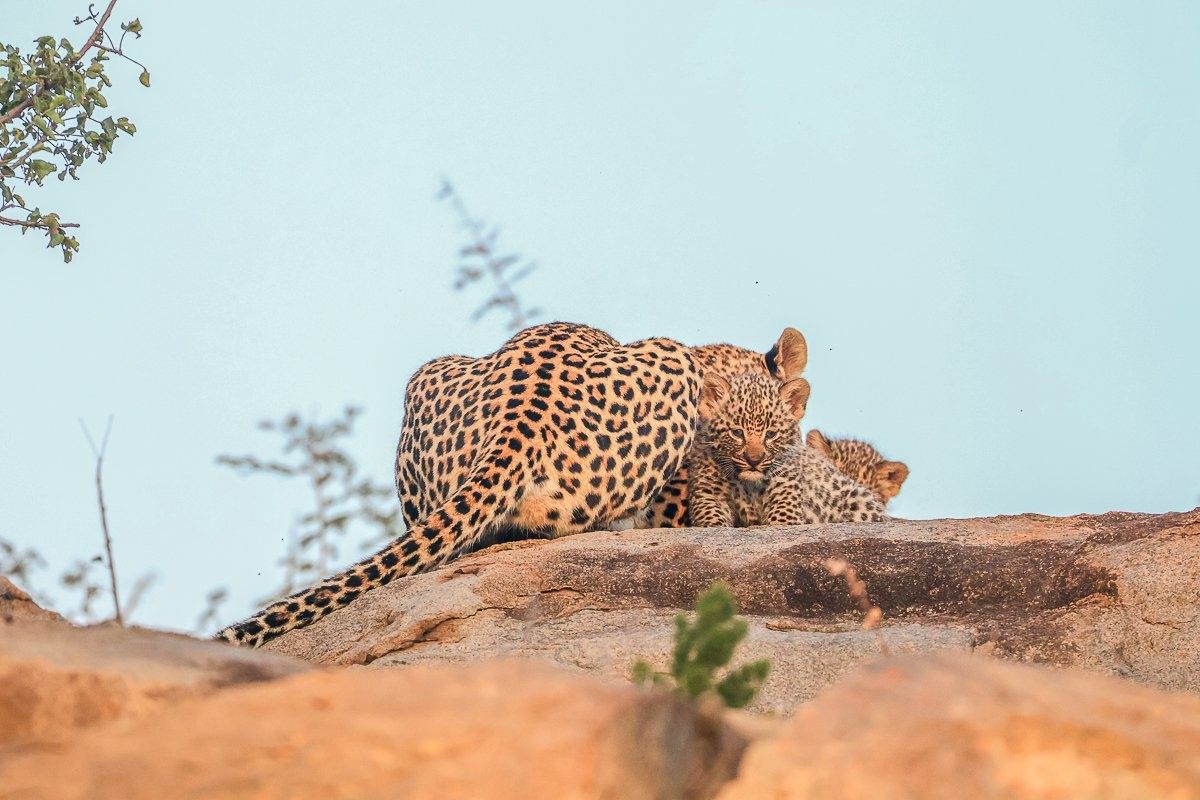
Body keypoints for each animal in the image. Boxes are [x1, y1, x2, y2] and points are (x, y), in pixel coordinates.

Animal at [687, 372, 886, 527]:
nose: (754, 460)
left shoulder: (786, 489)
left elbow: (781, 520)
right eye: (737, 432)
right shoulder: (708, 493)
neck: (748, 484)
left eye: (770, 434)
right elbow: (712, 521)